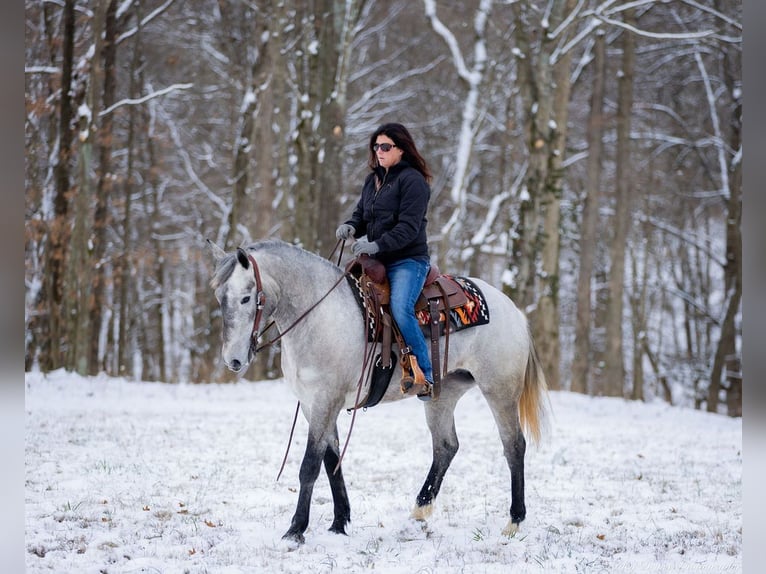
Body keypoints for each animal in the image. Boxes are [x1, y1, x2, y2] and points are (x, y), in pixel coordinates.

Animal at [207, 238, 548, 544]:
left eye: (246, 298)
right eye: (219, 296)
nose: (233, 360)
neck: (320, 316)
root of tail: (512, 309)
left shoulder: (325, 401)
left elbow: (310, 466)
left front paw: (295, 531)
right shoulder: (312, 404)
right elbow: (331, 462)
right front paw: (339, 523)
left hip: (499, 390)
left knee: (513, 446)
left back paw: (514, 521)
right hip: (442, 394)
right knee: (446, 447)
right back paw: (418, 514)